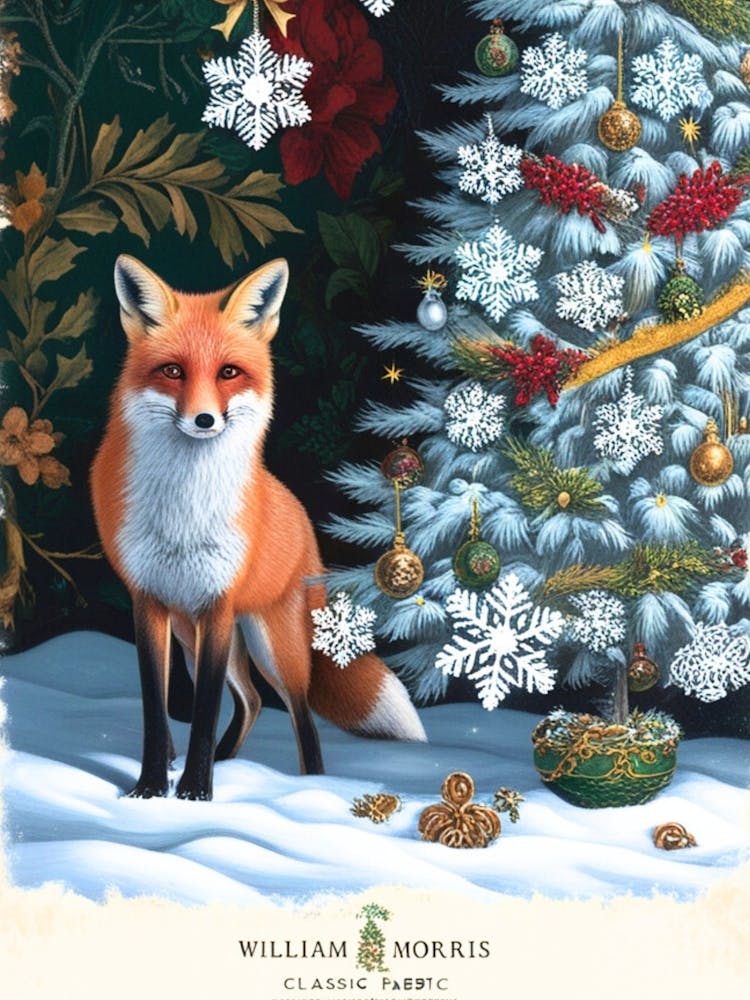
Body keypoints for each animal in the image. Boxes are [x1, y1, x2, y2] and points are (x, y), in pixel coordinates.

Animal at [91, 254, 427, 801]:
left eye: (228, 372)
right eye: (173, 371)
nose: (204, 420)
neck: (185, 512)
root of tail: (300, 517)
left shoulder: (217, 604)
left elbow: (204, 711)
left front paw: (195, 793)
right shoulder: (150, 602)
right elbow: (156, 712)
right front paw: (151, 787)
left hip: (271, 643)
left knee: (299, 713)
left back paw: (309, 783)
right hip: (196, 636)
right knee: (248, 700)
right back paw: (226, 763)